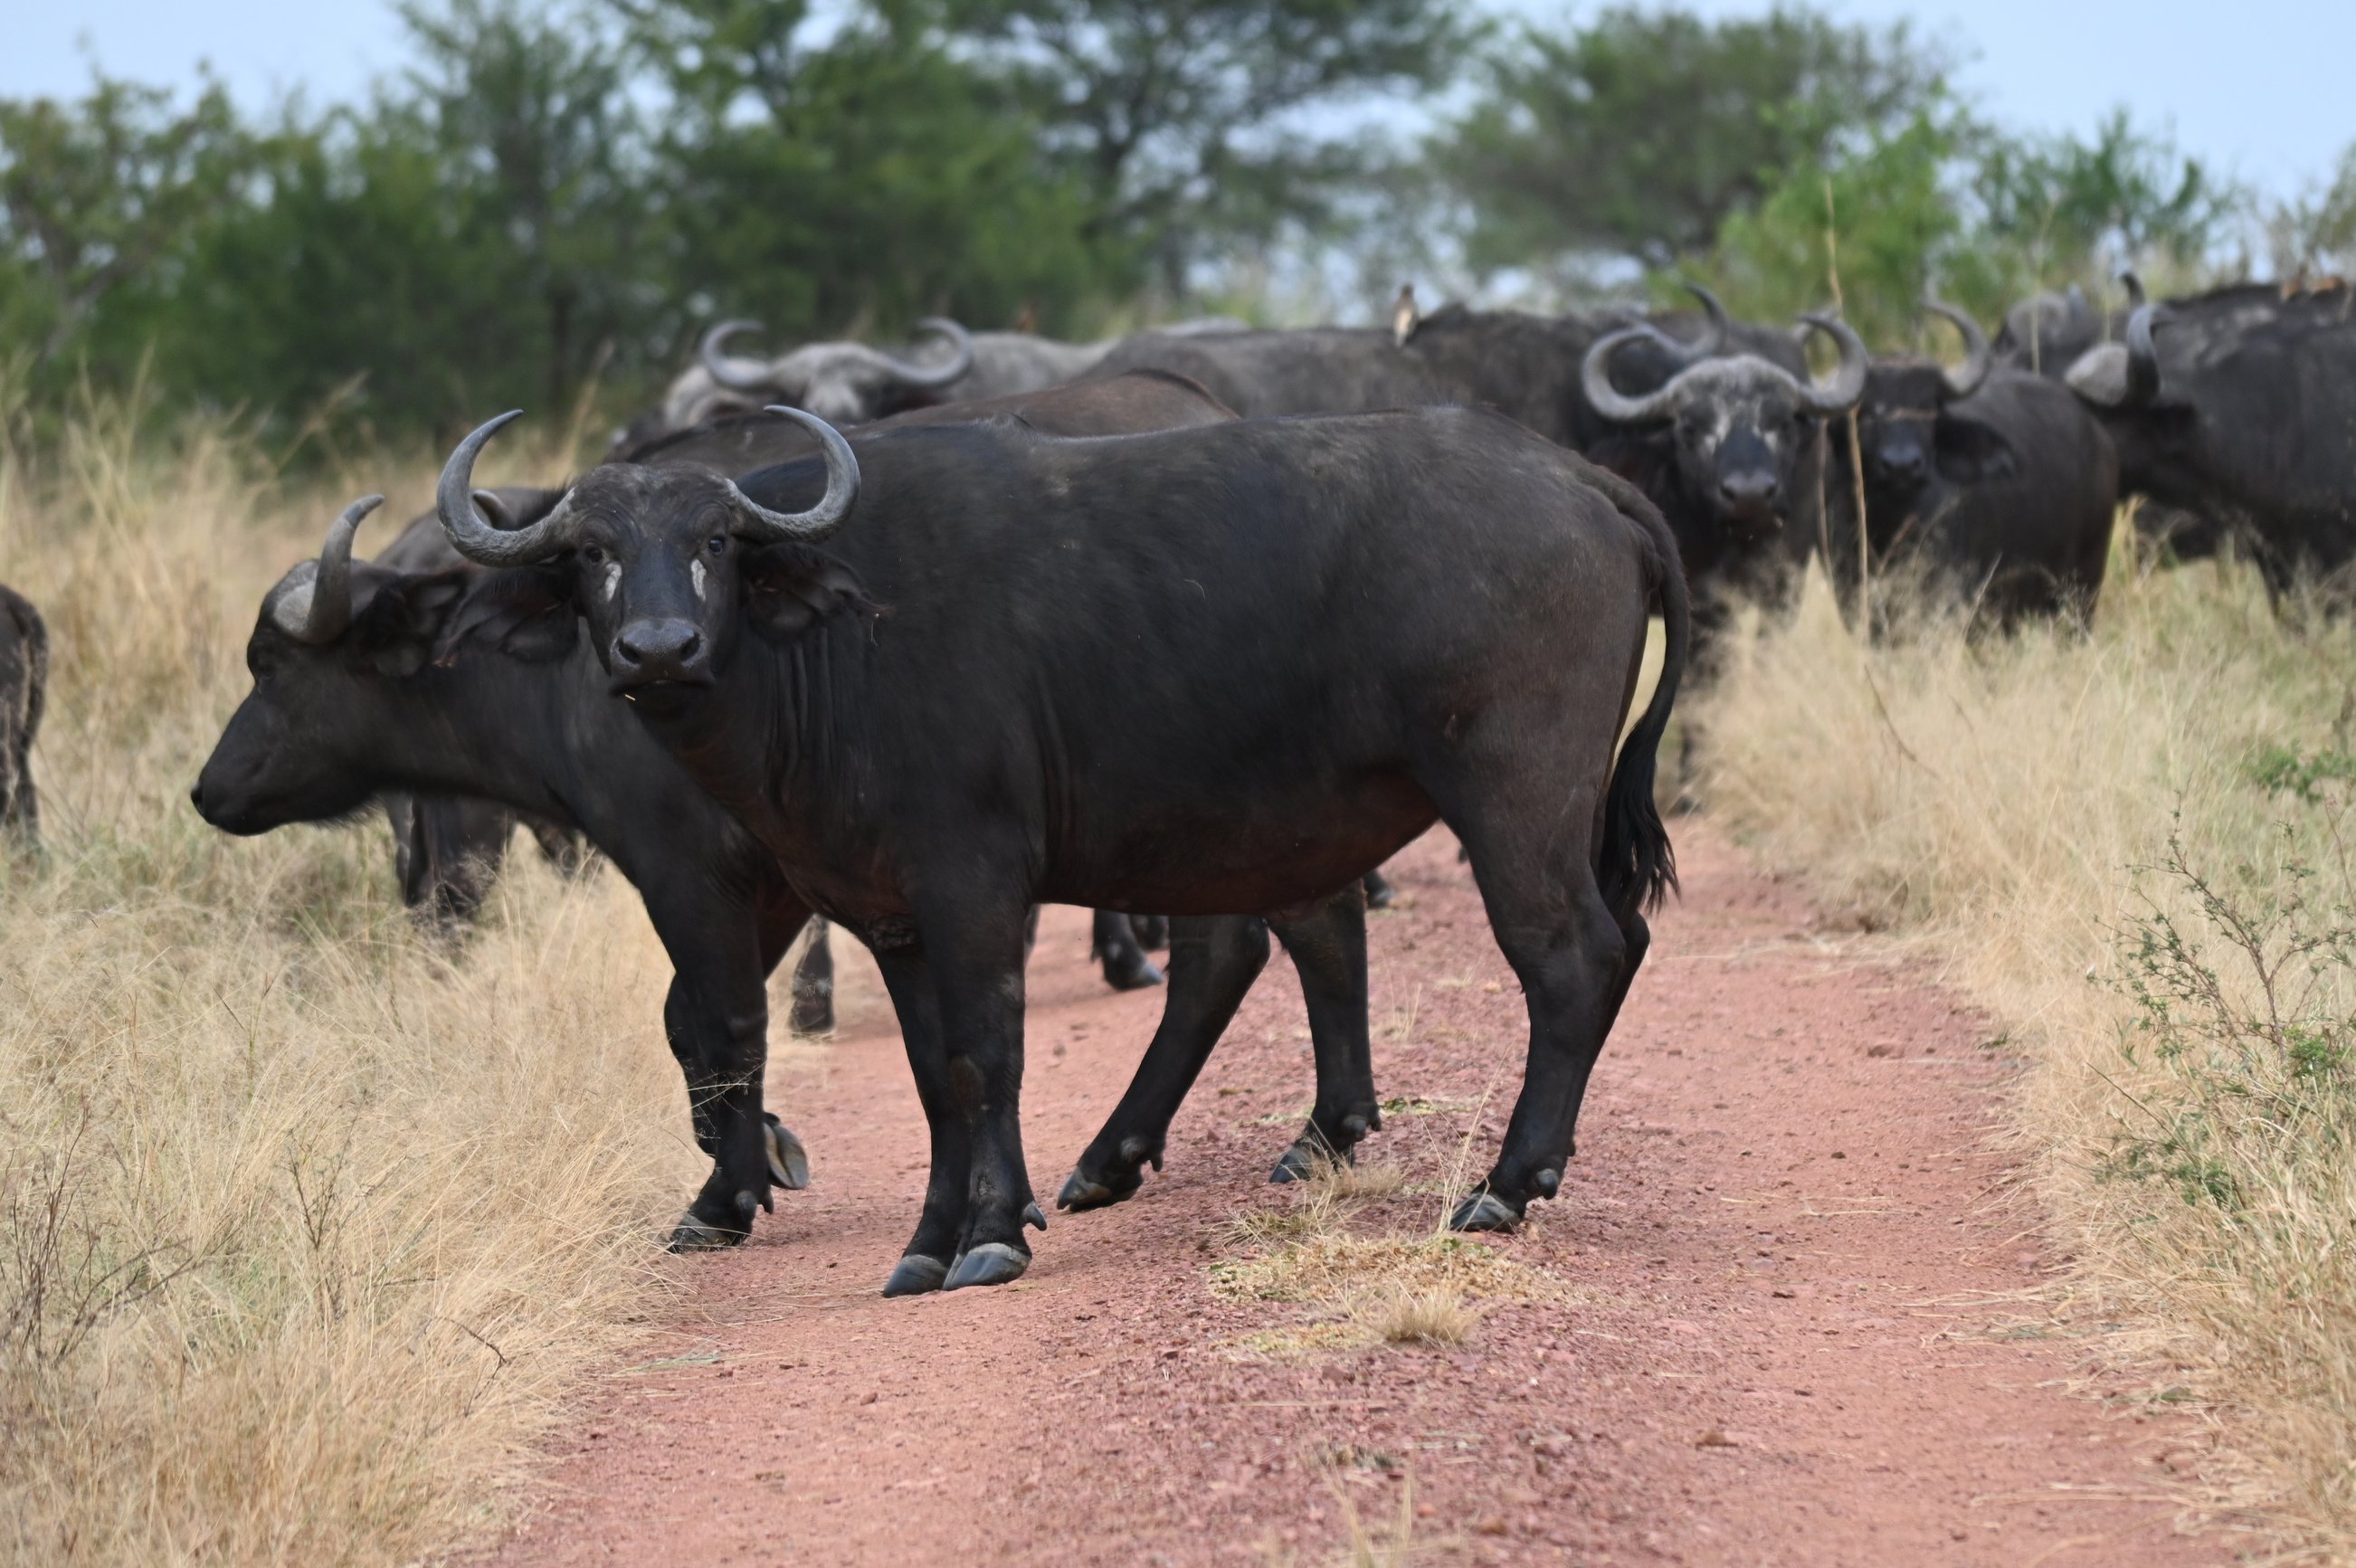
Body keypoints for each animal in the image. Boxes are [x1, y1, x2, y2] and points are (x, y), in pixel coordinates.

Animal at [431, 398, 1689, 1292]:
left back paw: (1507, 1183)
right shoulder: (891, 916)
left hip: (1515, 796)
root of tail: (1581, 479)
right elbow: (934, 1076)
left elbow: (988, 1056)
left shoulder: (976, 884)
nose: (658, 648)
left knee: (1572, 954)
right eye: (592, 553)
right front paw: (928, 1240)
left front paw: (993, 1232)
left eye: (713, 542)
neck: (839, 646)